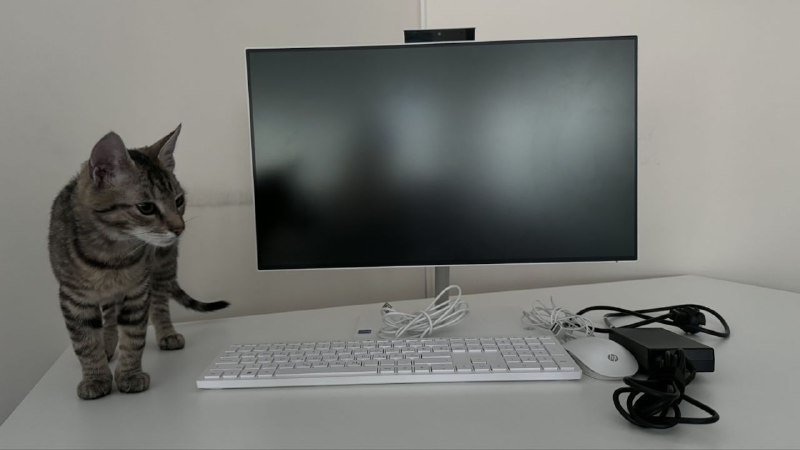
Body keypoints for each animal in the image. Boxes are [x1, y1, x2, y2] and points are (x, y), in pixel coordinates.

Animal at [48, 125, 228, 400]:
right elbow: (85, 342)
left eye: (179, 201)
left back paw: (166, 333)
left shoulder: (137, 291)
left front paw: (129, 375)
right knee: (109, 314)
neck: (112, 256)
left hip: (162, 266)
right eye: (146, 208)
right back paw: (108, 343)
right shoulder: (73, 298)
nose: (180, 228)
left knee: (159, 303)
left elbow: (134, 337)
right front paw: (96, 377)